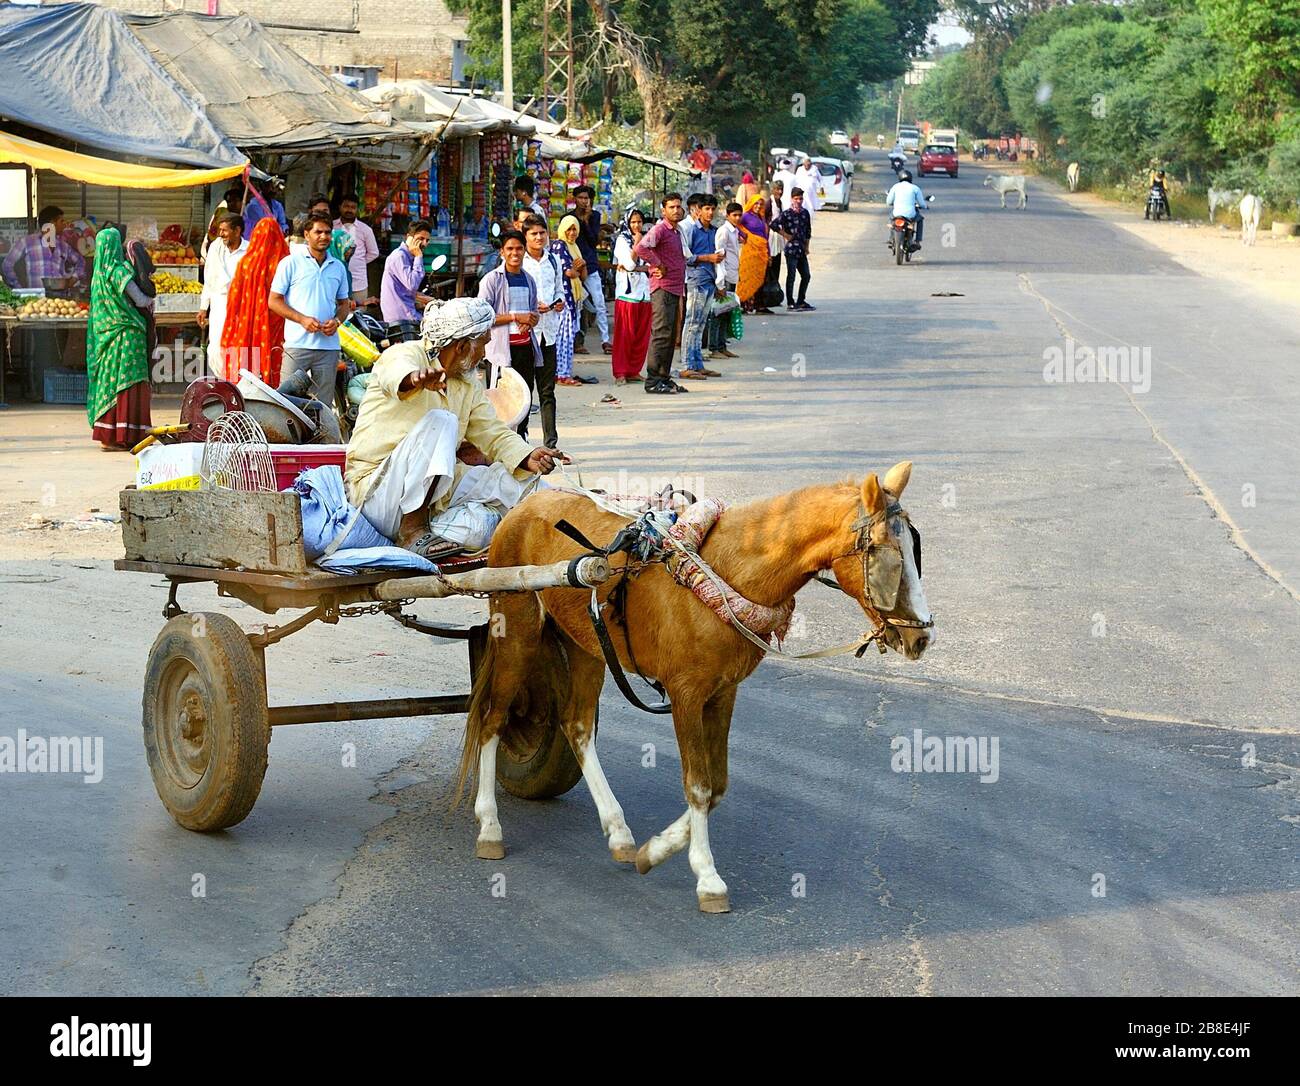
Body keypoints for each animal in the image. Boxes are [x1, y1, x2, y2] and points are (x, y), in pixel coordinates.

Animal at [457, 457, 935, 910]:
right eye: (888, 558)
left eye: (915, 551)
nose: (922, 637)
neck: (727, 571)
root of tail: (524, 506)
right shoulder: (686, 694)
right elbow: (699, 785)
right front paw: (707, 876)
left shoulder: (723, 692)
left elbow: (718, 784)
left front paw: (654, 851)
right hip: (517, 630)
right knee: (492, 718)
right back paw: (490, 826)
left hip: (586, 642)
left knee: (576, 725)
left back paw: (618, 831)